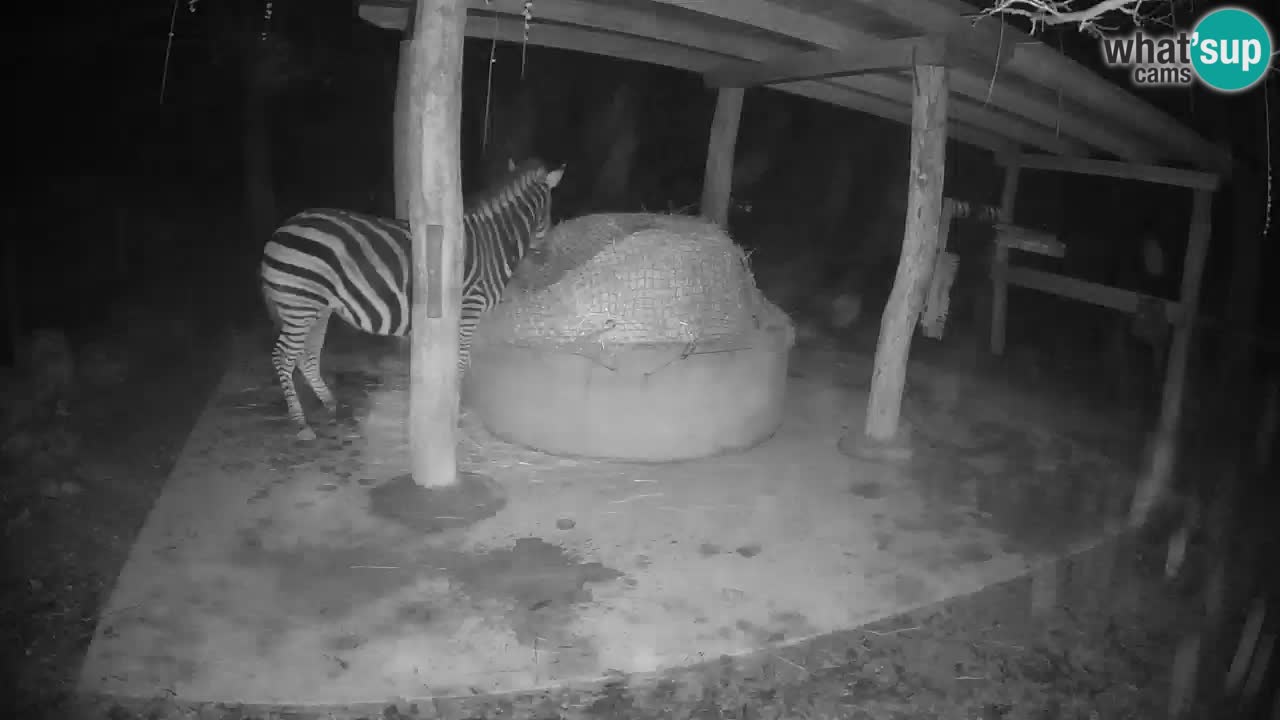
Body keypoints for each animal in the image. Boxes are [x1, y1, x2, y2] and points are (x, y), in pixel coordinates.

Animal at [260, 158, 564, 440]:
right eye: (549, 211)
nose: (546, 255)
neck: (494, 244)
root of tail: (280, 230)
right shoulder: (470, 308)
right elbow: (460, 362)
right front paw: (454, 411)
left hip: (317, 308)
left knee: (307, 356)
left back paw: (333, 405)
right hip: (300, 304)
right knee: (283, 356)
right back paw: (301, 424)